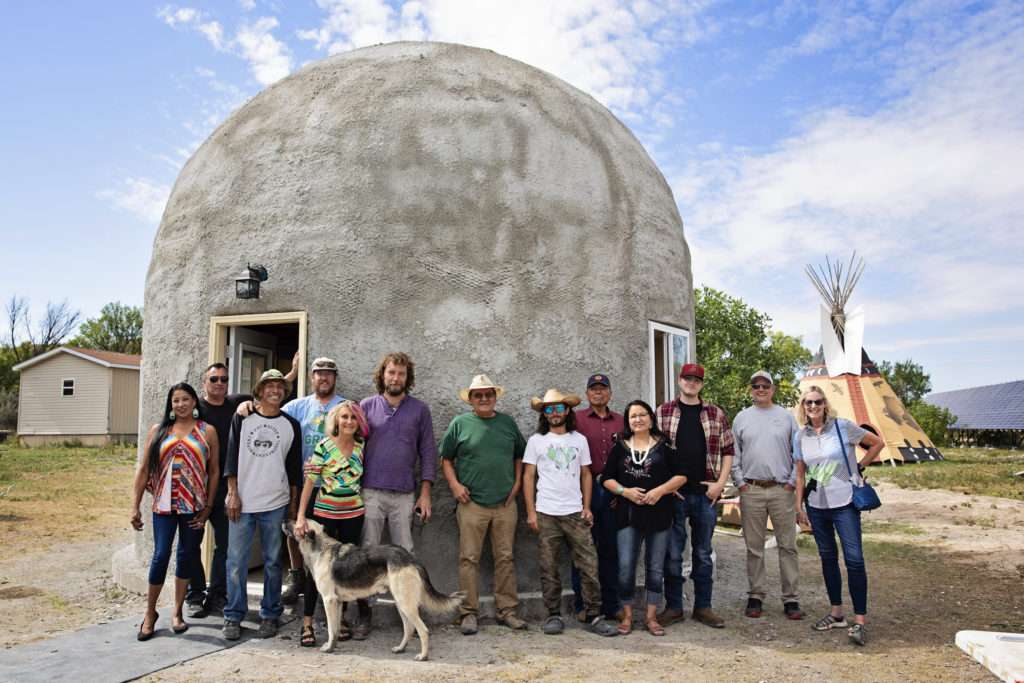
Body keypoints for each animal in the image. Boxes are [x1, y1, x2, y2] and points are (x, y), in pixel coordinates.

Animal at [280, 520, 464, 659]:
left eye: (296, 521)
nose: (283, 520)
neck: (320, 547)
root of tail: (410, 558)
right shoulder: (337, 602)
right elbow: (336, 629)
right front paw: (333, 646)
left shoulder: (329, 600)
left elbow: (332, 629)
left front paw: (328, 648)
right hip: (401, 603)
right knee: (409, 629)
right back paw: (400, 648)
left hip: (406, 604)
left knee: (423, 630)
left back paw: (423, 656)